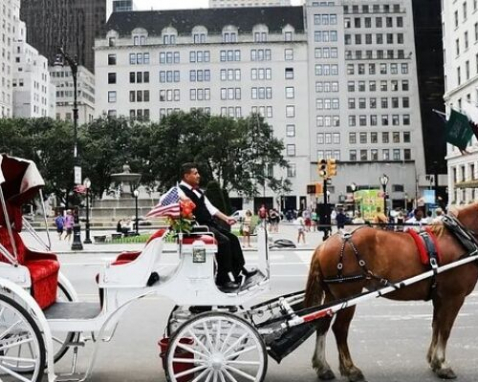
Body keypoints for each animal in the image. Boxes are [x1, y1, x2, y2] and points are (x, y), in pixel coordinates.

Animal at [304, 206, 478, 382]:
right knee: (340, 328)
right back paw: (351, 369)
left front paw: (433, 361)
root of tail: (325, 243)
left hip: (332, 296)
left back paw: (323, 367)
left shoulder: (440, 297)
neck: (459, 238)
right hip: (347, 294)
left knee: (323, 325)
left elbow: (436, 326)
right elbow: (445, 329)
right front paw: (442, 364)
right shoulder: (454, 296)